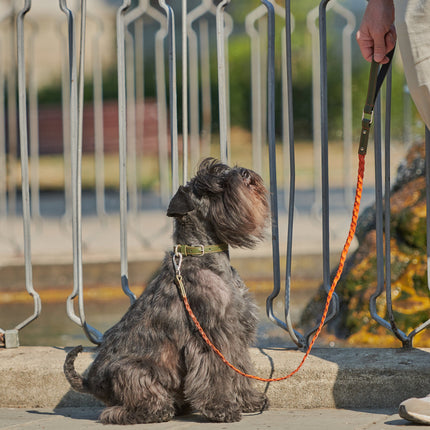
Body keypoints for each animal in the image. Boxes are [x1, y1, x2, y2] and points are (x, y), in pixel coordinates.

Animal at [63, 157, 268, 424]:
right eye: (213, 186)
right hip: (136, 371)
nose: (245, 174)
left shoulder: (236, 334)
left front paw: (248, 401)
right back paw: (157, 410)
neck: (203, 256)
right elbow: (216, 372)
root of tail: (90, 382)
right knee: (117, 410)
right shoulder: (210, 335)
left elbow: (240, 367)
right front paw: (221, 408)